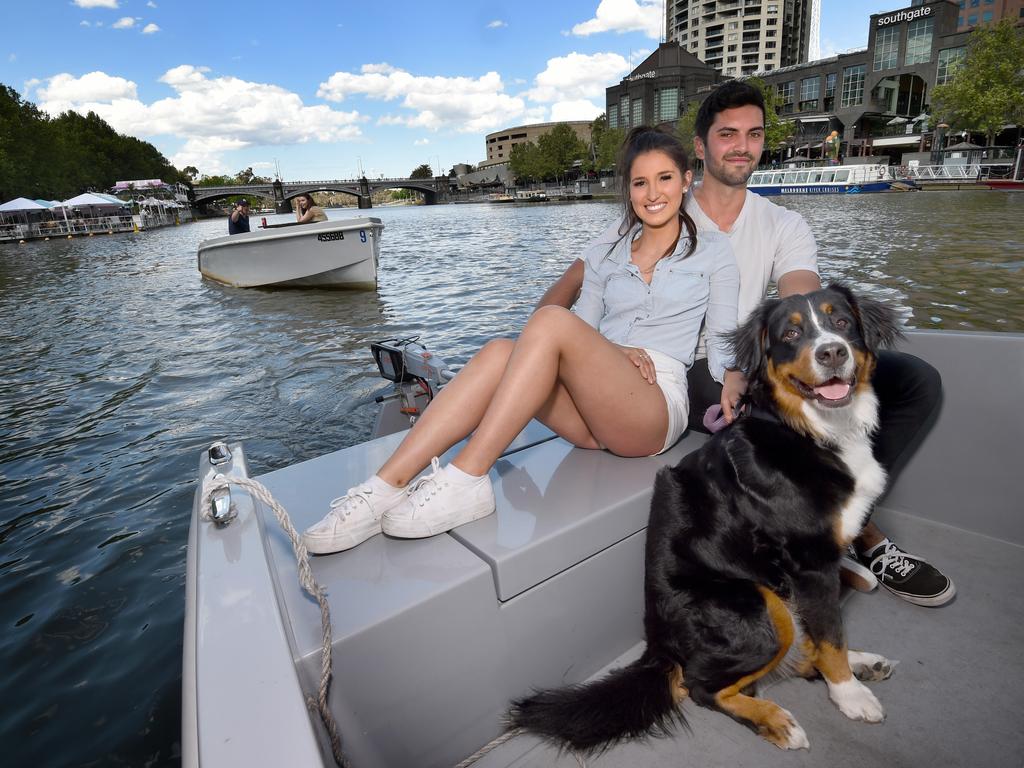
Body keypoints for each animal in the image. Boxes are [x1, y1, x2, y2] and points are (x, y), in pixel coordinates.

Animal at [507, 286, 901, 753]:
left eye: (841, 322)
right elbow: (830, 636)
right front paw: (849, 696)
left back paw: (862, 663)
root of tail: (659, 645)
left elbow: (828, 635)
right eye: (790, 334)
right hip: (758, 605)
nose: (832, 352)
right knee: (702, 686)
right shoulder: (811, 562)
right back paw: (775, 720)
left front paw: (849, 674)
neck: (810, 430)